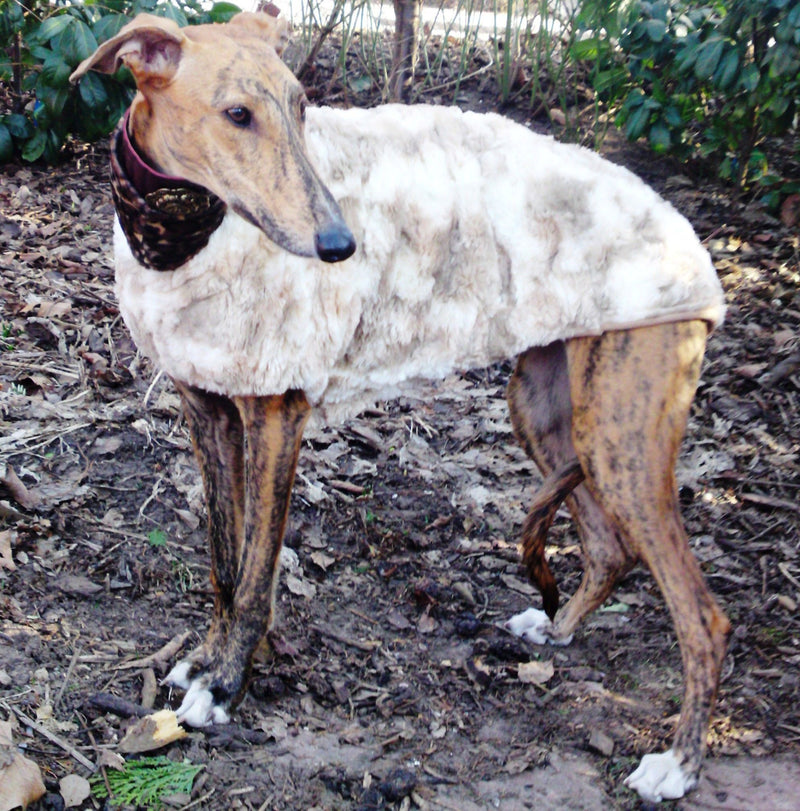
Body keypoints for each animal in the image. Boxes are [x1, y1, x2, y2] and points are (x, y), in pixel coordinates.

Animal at [73, 12, 732, 804]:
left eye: (301, 107)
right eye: (237, 115)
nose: (339, 246)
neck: (184, 232)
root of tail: (687, 239)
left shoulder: (277, 412)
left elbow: (257, 575)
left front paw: (226, 687)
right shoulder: (208, 405)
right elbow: (225, 568)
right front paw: (206, 659)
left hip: (620, 432)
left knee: (704, 617)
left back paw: (678, 764)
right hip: (548, 406)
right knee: (608, 548)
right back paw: (556, 629)